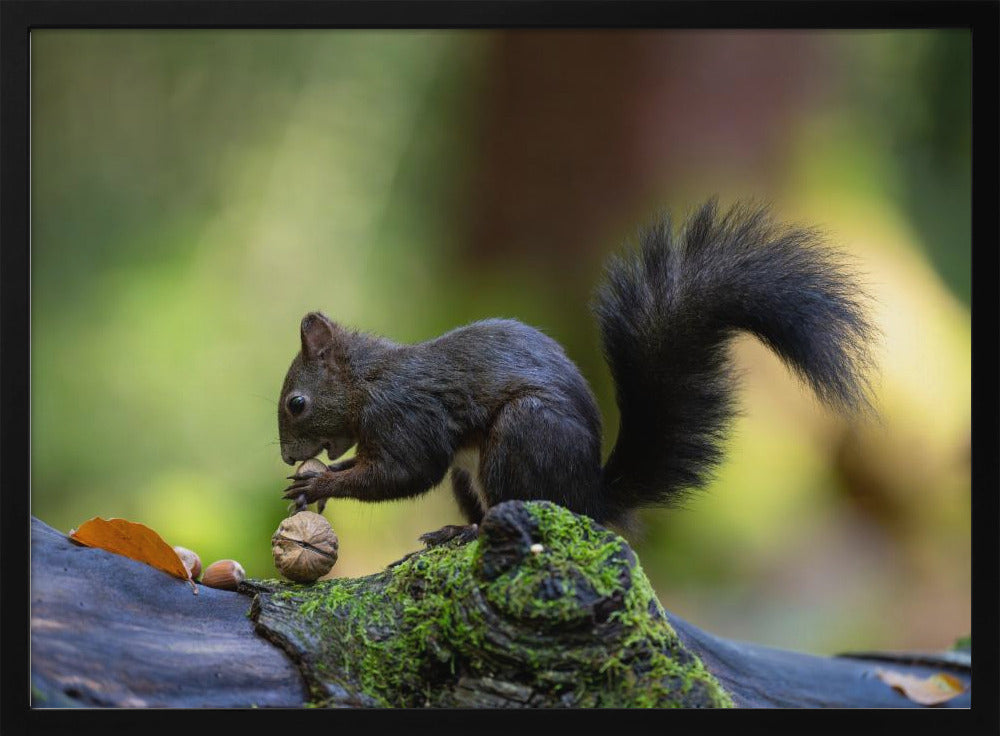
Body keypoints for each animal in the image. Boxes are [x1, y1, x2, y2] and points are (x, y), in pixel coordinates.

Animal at [276, 198, 876, 544]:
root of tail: (590, 498)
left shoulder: (405, 415)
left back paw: (464, 535)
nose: (285, 457)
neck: (368, 382)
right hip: (472, 473)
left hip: (523, 435)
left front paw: (323, 480)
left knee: (522, 509)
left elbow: (405, 472)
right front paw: (318, 481)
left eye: (296, 403)